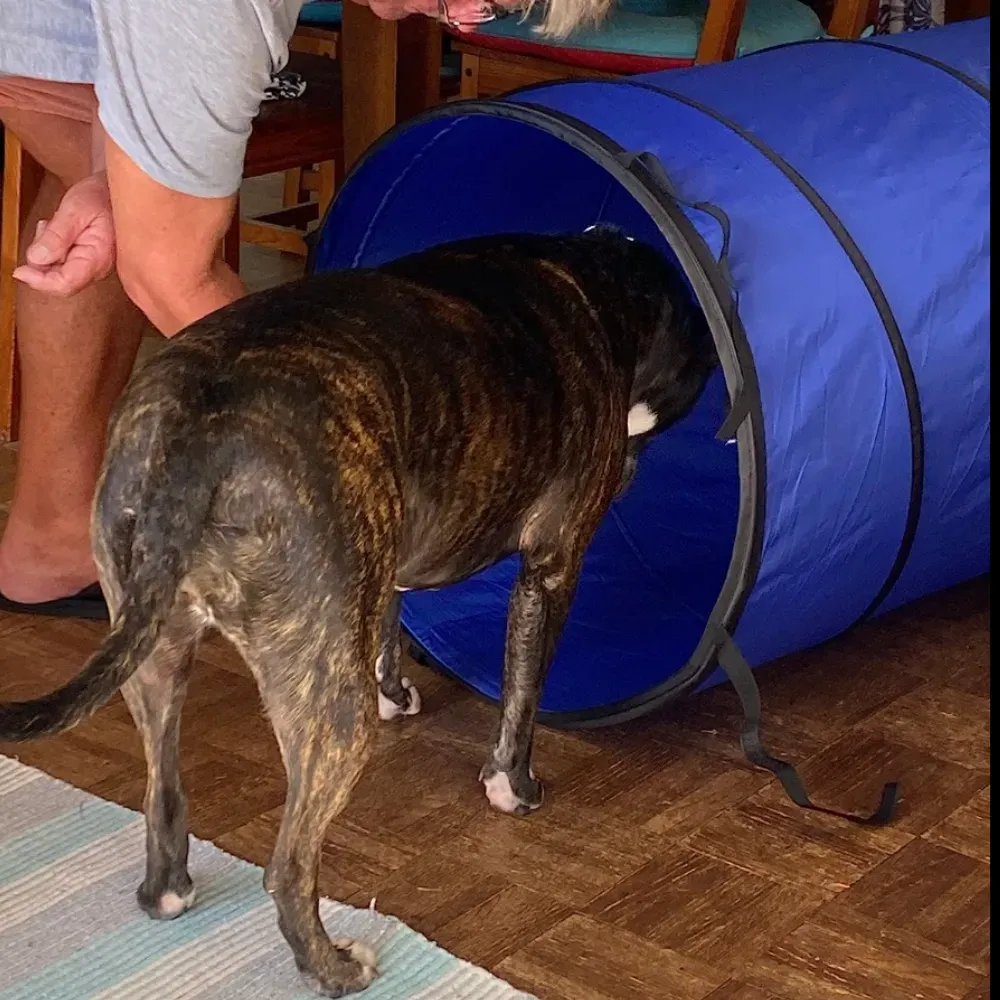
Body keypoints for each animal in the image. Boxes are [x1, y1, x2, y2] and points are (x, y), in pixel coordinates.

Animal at [1, 225, 720, 992]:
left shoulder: (388, 549)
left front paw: (396, 690)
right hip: (331, 719)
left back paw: (170, 892)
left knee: (162, 800)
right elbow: (523, 695)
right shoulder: (550, 573)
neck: (590, 280)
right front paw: (513, 785)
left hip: (154, 658)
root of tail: (197, 436)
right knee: (288, 870)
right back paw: (336, 967)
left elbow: (390, 622)